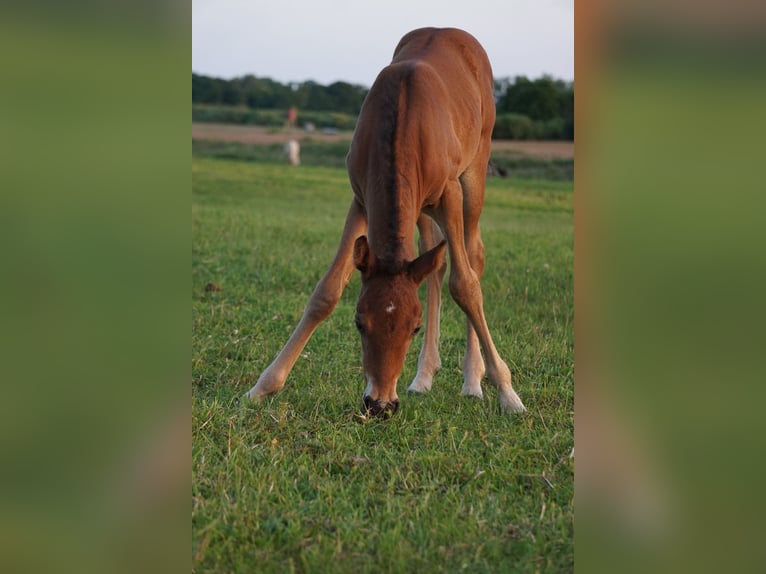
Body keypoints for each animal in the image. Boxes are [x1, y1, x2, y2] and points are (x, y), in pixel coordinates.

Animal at [245, 27, 526, 417]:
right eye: (359, 322)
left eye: (414, 328)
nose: (380, 404)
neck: (402, 120)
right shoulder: (362, 197)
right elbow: (327, 291)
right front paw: (263, 385)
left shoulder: (450, 194)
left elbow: (466, 285)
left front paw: (508, 393)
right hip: (419, 207)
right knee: (433, 260)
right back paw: (423, 376)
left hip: (474, 174)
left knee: (472, 255)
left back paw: (472, 379)